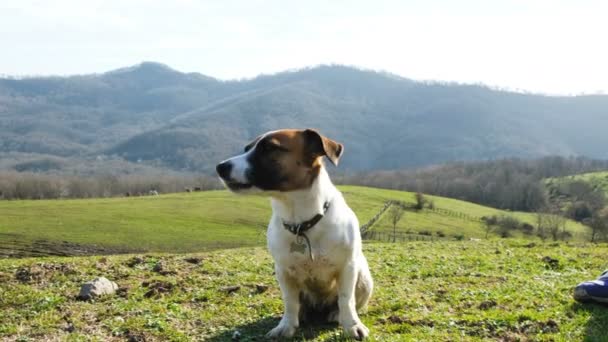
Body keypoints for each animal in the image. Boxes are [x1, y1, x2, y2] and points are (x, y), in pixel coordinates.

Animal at [216, 128, 372, 340]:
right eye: (247, 148)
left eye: (270, 148)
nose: (220, 167)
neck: (302, 223)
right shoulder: (284, 272)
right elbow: (290, 302)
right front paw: (287, 326)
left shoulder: (348, 268)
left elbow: (346, 299)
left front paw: (352, 325)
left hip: (364, 278)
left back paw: (335, 313)